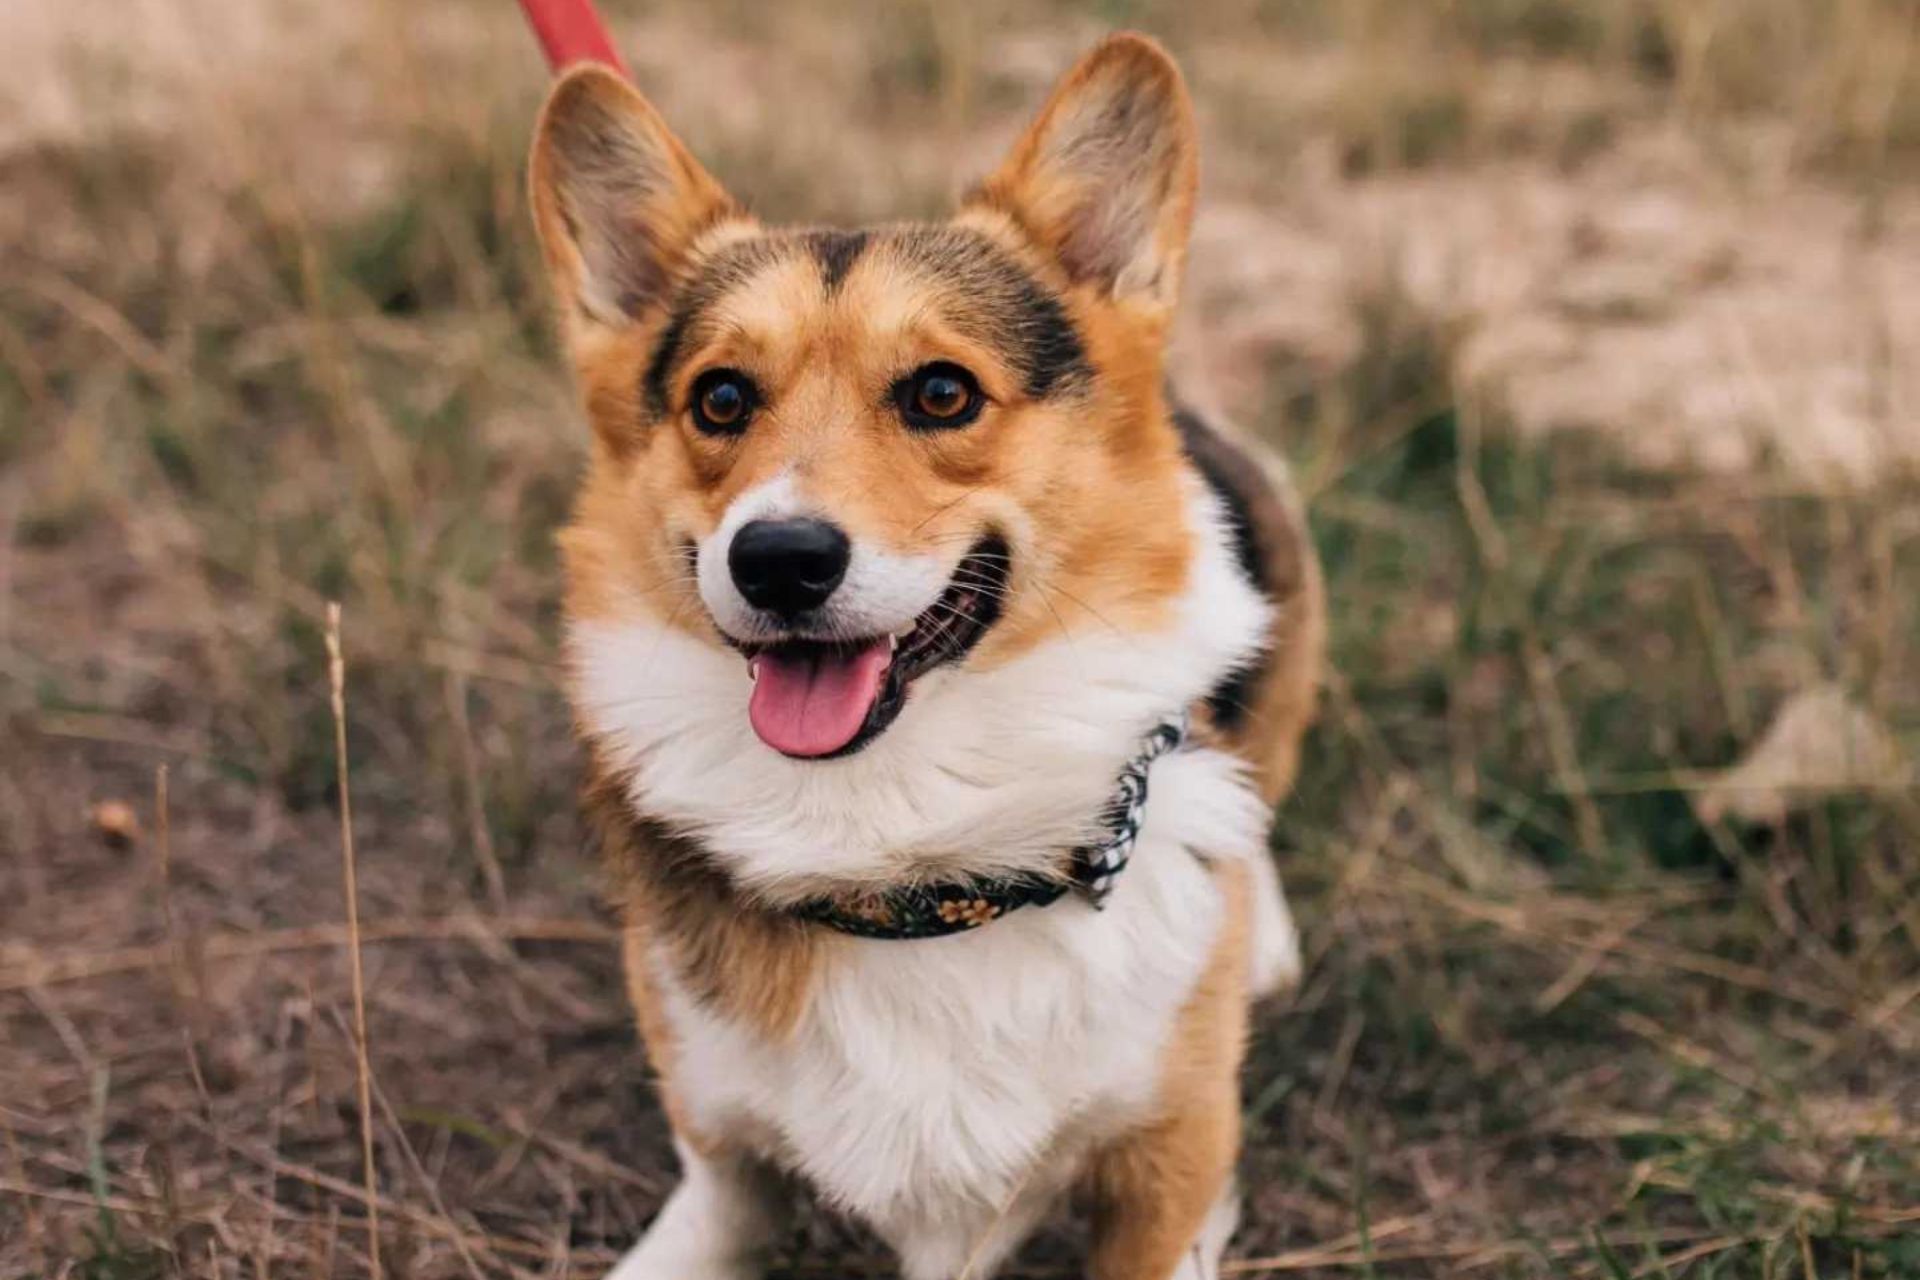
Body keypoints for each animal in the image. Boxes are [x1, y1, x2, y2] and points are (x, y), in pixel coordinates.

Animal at [533, 29, 1328, 1280]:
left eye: (943, 391)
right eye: (721, 397)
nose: (780, 559)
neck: (909, 866)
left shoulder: (1167, 1159)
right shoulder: (720, 1159)